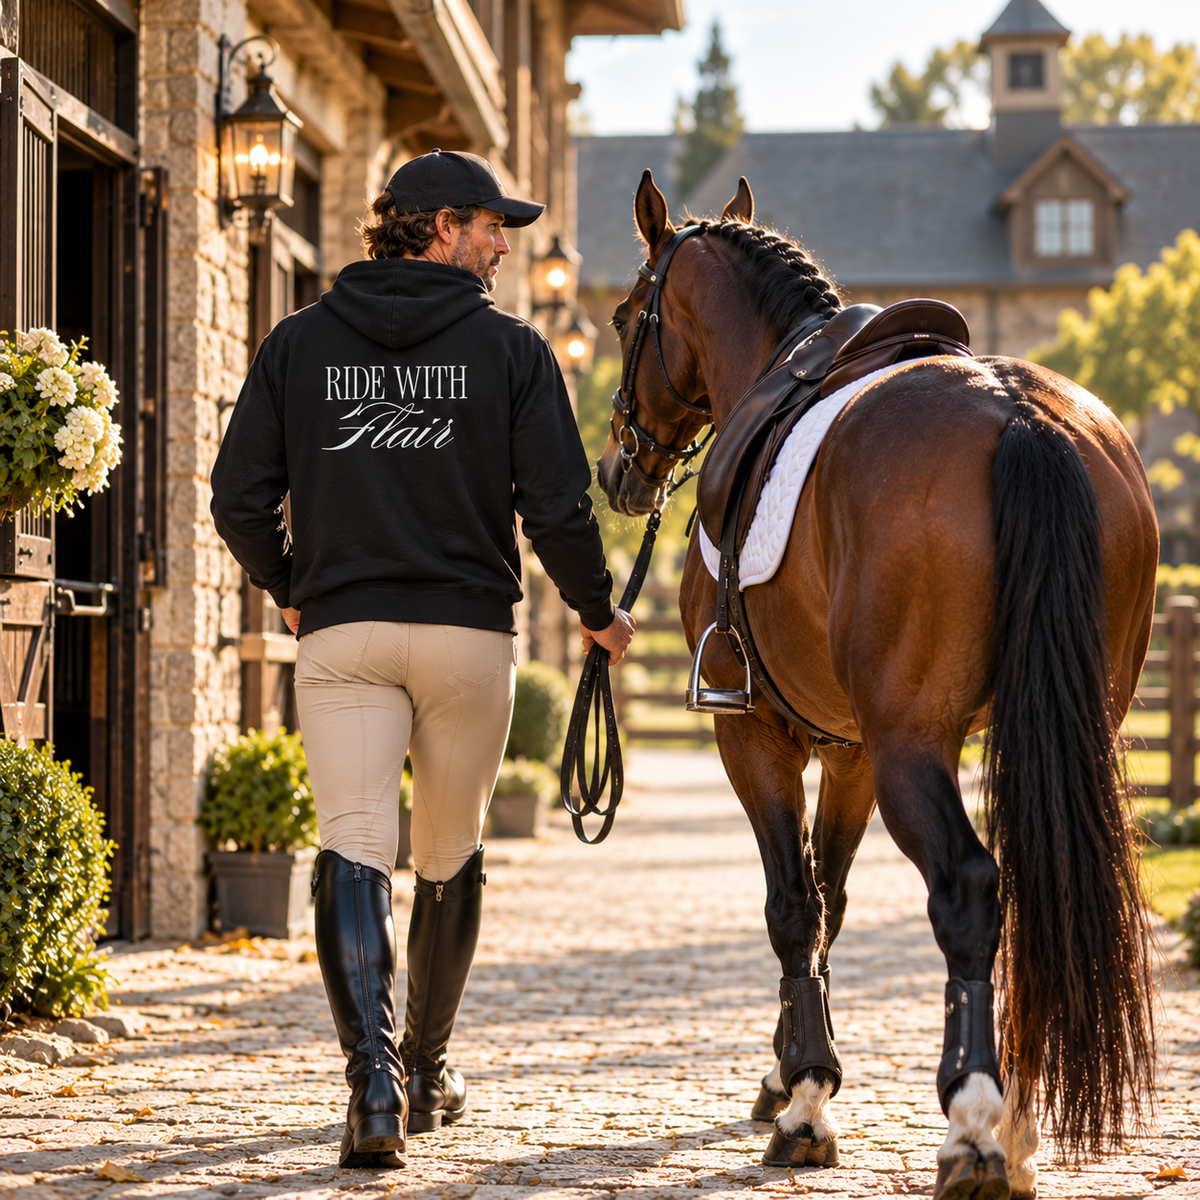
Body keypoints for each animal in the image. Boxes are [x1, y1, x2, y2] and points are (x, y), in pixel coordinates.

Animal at [594, 170, 1158, 1200]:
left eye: (625, 314)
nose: (620, 468)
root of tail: (1017, 414)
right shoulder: (849, 749)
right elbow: (832, 899)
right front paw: (788, 1071)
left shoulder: (759, 737)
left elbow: (793, 904)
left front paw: (807, 1097)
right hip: (1065, 727)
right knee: (1031, 887)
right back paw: (1020, 1128)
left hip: (913, 745)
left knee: (969, 886)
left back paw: (975, 1126)